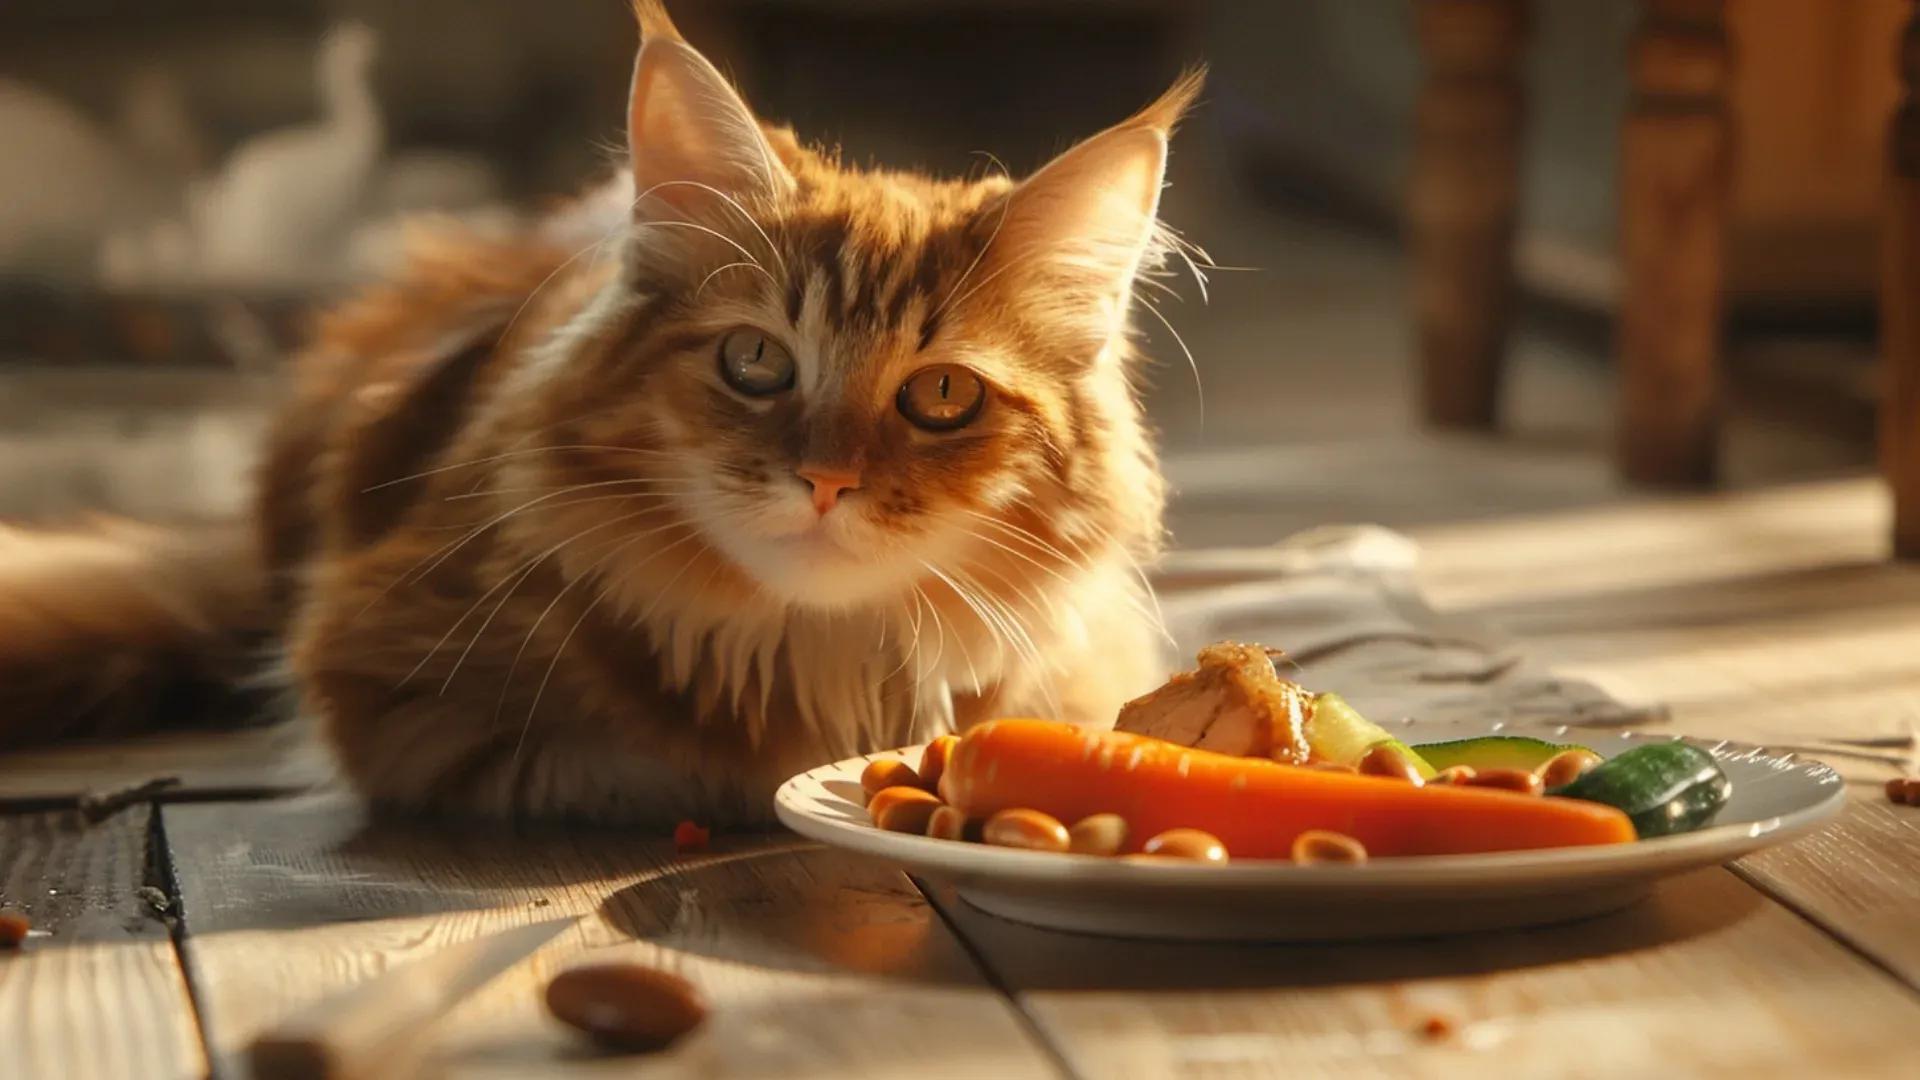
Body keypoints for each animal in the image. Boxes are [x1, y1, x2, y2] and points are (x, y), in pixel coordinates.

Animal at [0, 2, 1198, 822]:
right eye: (755, 361)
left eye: (941, 395)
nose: (826, 480)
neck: (812, 657)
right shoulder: (391, 695)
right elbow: (665, 763)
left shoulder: (1092, 675)